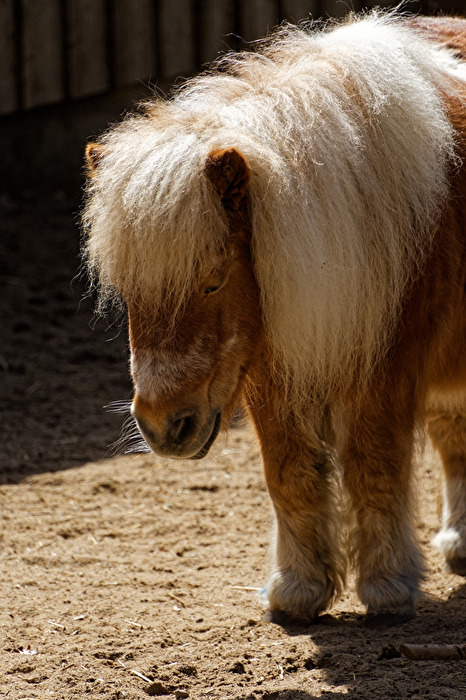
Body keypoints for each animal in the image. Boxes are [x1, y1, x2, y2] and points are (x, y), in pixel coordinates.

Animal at [82, 12, 466, 622]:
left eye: (214, 279)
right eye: (126, 290)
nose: (164, 428)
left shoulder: (383, 370)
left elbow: (374, 466)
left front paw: (387, 587)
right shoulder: (271, 375)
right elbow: (289, 474)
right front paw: (299, 590)